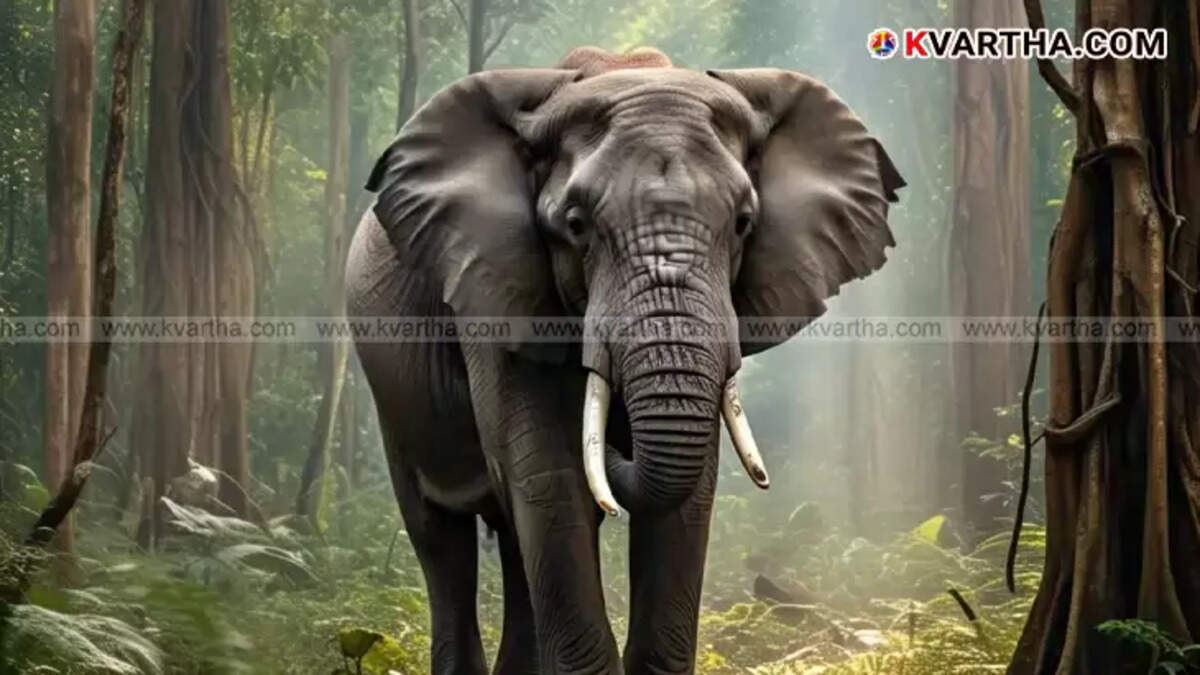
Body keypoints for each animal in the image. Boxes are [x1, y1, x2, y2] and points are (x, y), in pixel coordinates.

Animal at [346, 46, 904, 674]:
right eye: (575, 225)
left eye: (743, 223)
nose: (617, 443)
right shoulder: (495, 290)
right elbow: (547, 474)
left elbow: (687, 497)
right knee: (442, 539)